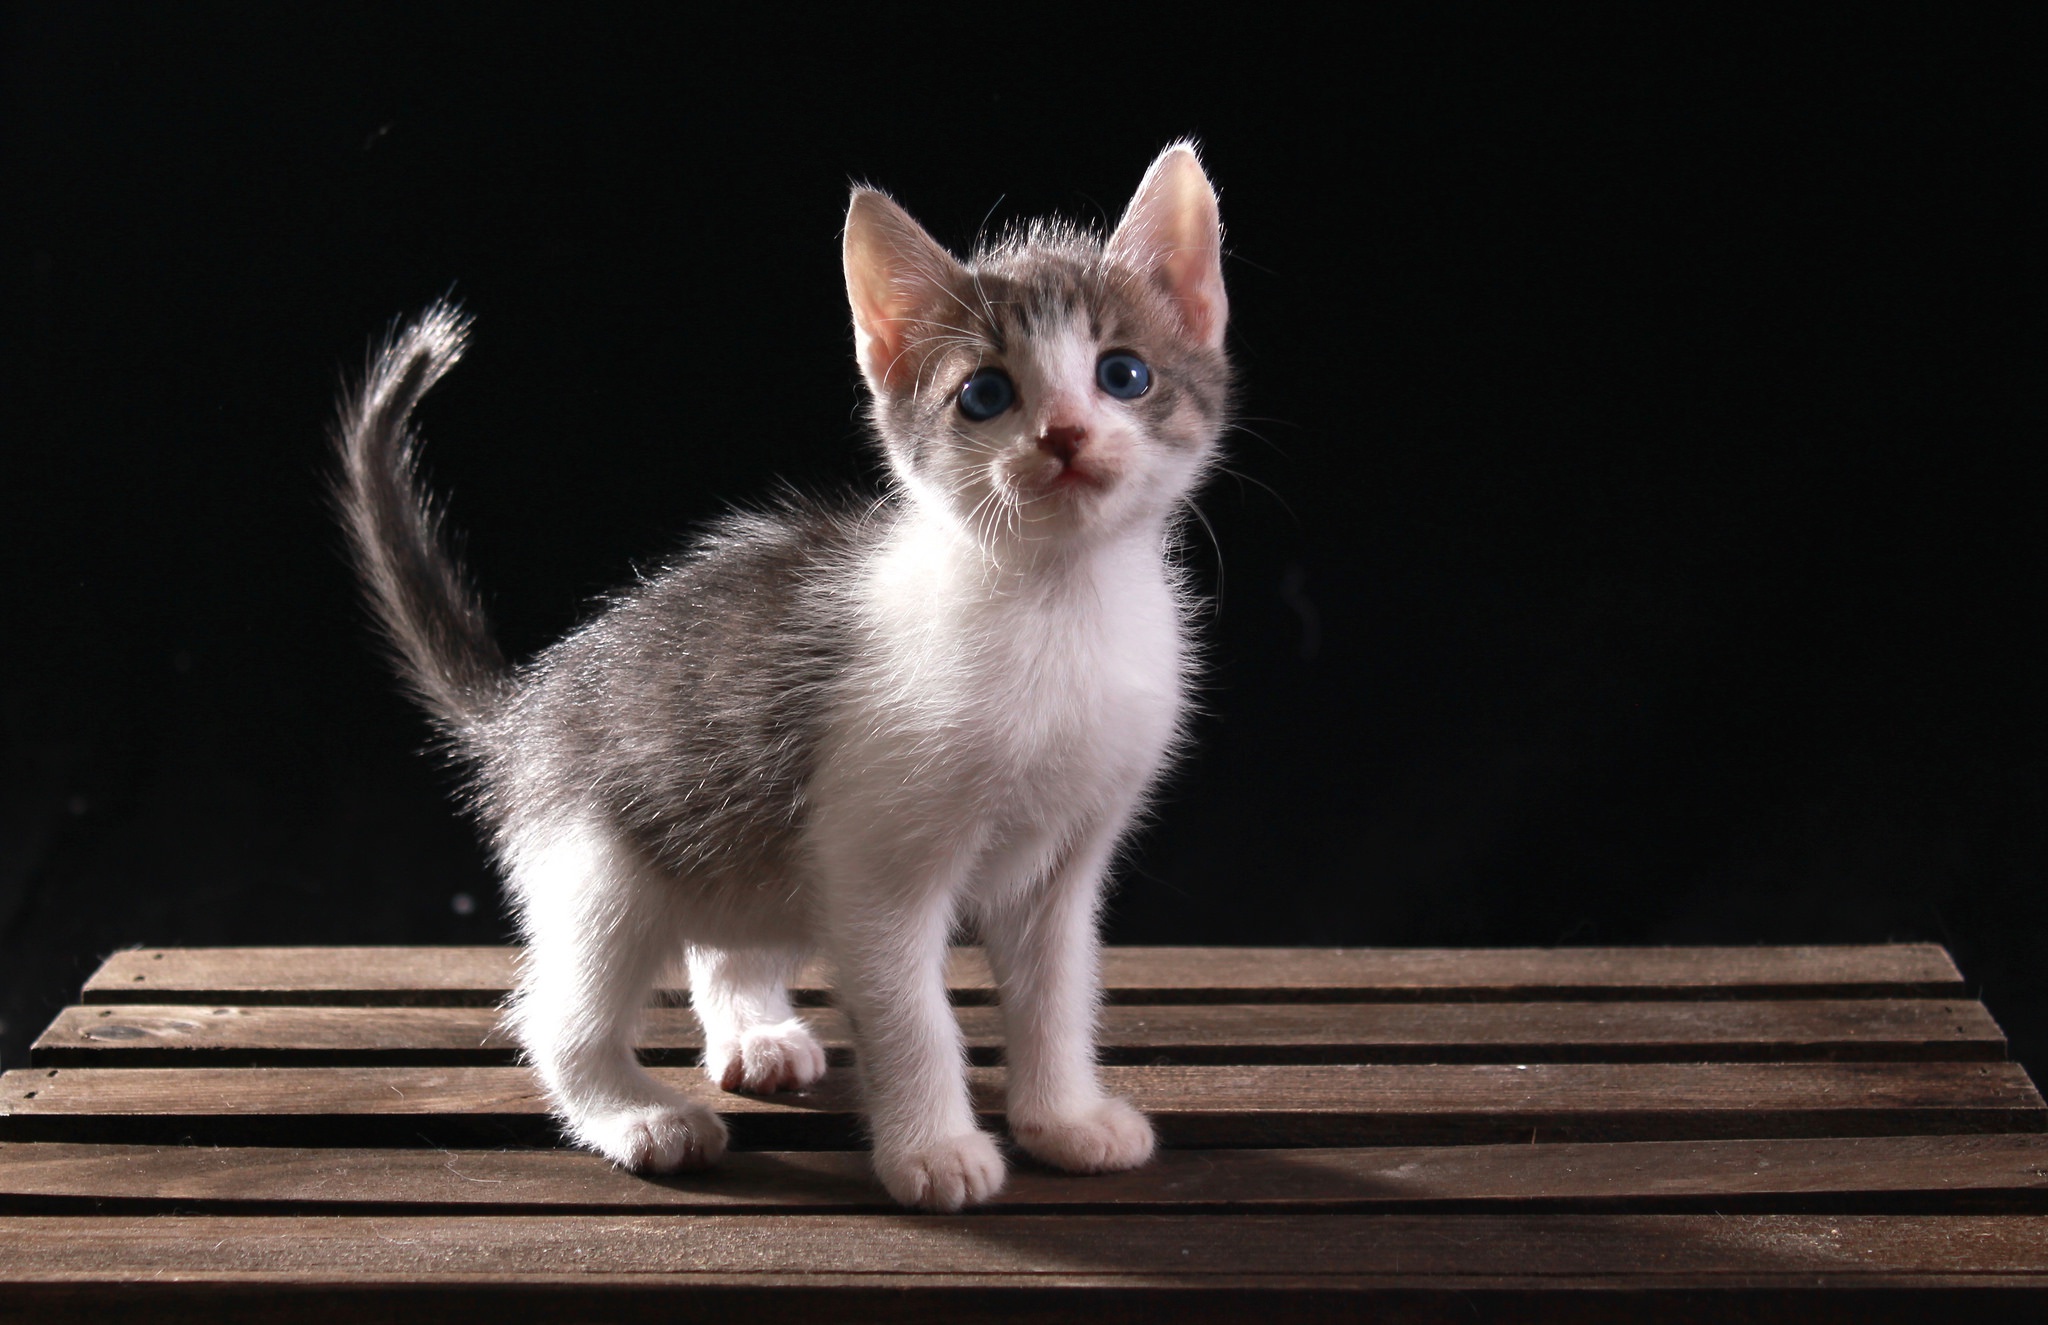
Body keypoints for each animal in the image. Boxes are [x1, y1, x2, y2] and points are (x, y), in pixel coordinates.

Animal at [335, 145, 1228, 1212]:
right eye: (984, 394)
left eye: (1123, 374)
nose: (1063, 435)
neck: (1055, 605)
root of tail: (526, 705)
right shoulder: (877, 866)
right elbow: (913, 1014)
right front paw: (935, 1150)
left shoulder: (1064, 862)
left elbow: (1057, 992)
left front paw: (1063, 1119)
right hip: (601, 862)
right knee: (562, 1013)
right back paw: (639, 1115)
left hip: (755, 842)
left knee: (722, 938)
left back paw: (752, 1031)